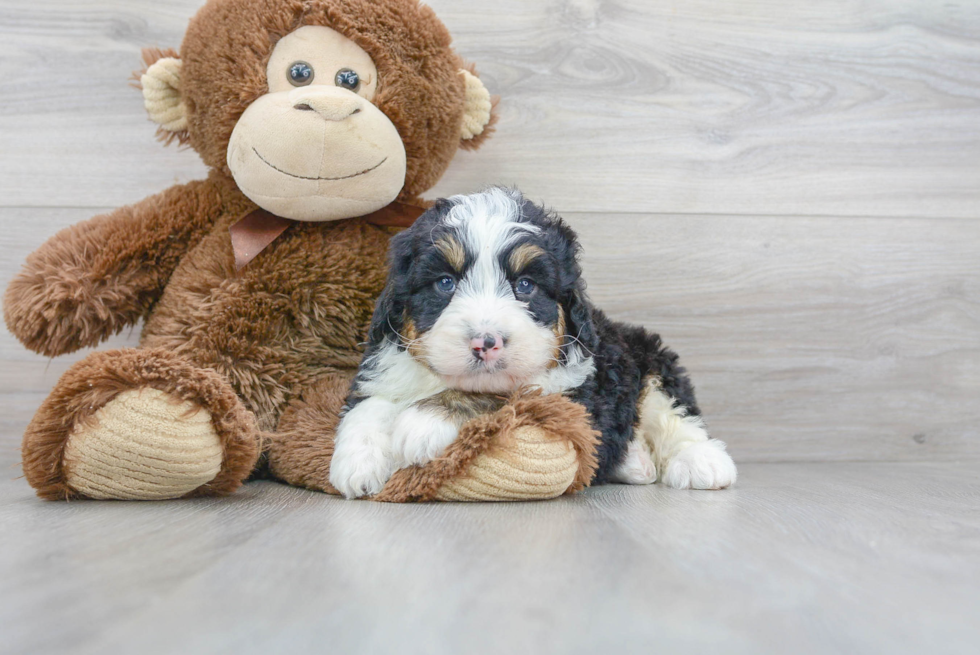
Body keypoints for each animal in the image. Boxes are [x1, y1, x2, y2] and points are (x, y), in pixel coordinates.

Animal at [330, 187, 736, 500]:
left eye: (525, 285)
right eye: (445, 283)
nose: (485, 343)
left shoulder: (572, 394)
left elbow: (503, 395)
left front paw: (425, 420)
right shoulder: (387, 365)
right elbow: (371, 403)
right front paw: (357, 460)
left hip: (652, 361)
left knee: (675, 415)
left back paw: (702, 462)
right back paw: (636, 463)